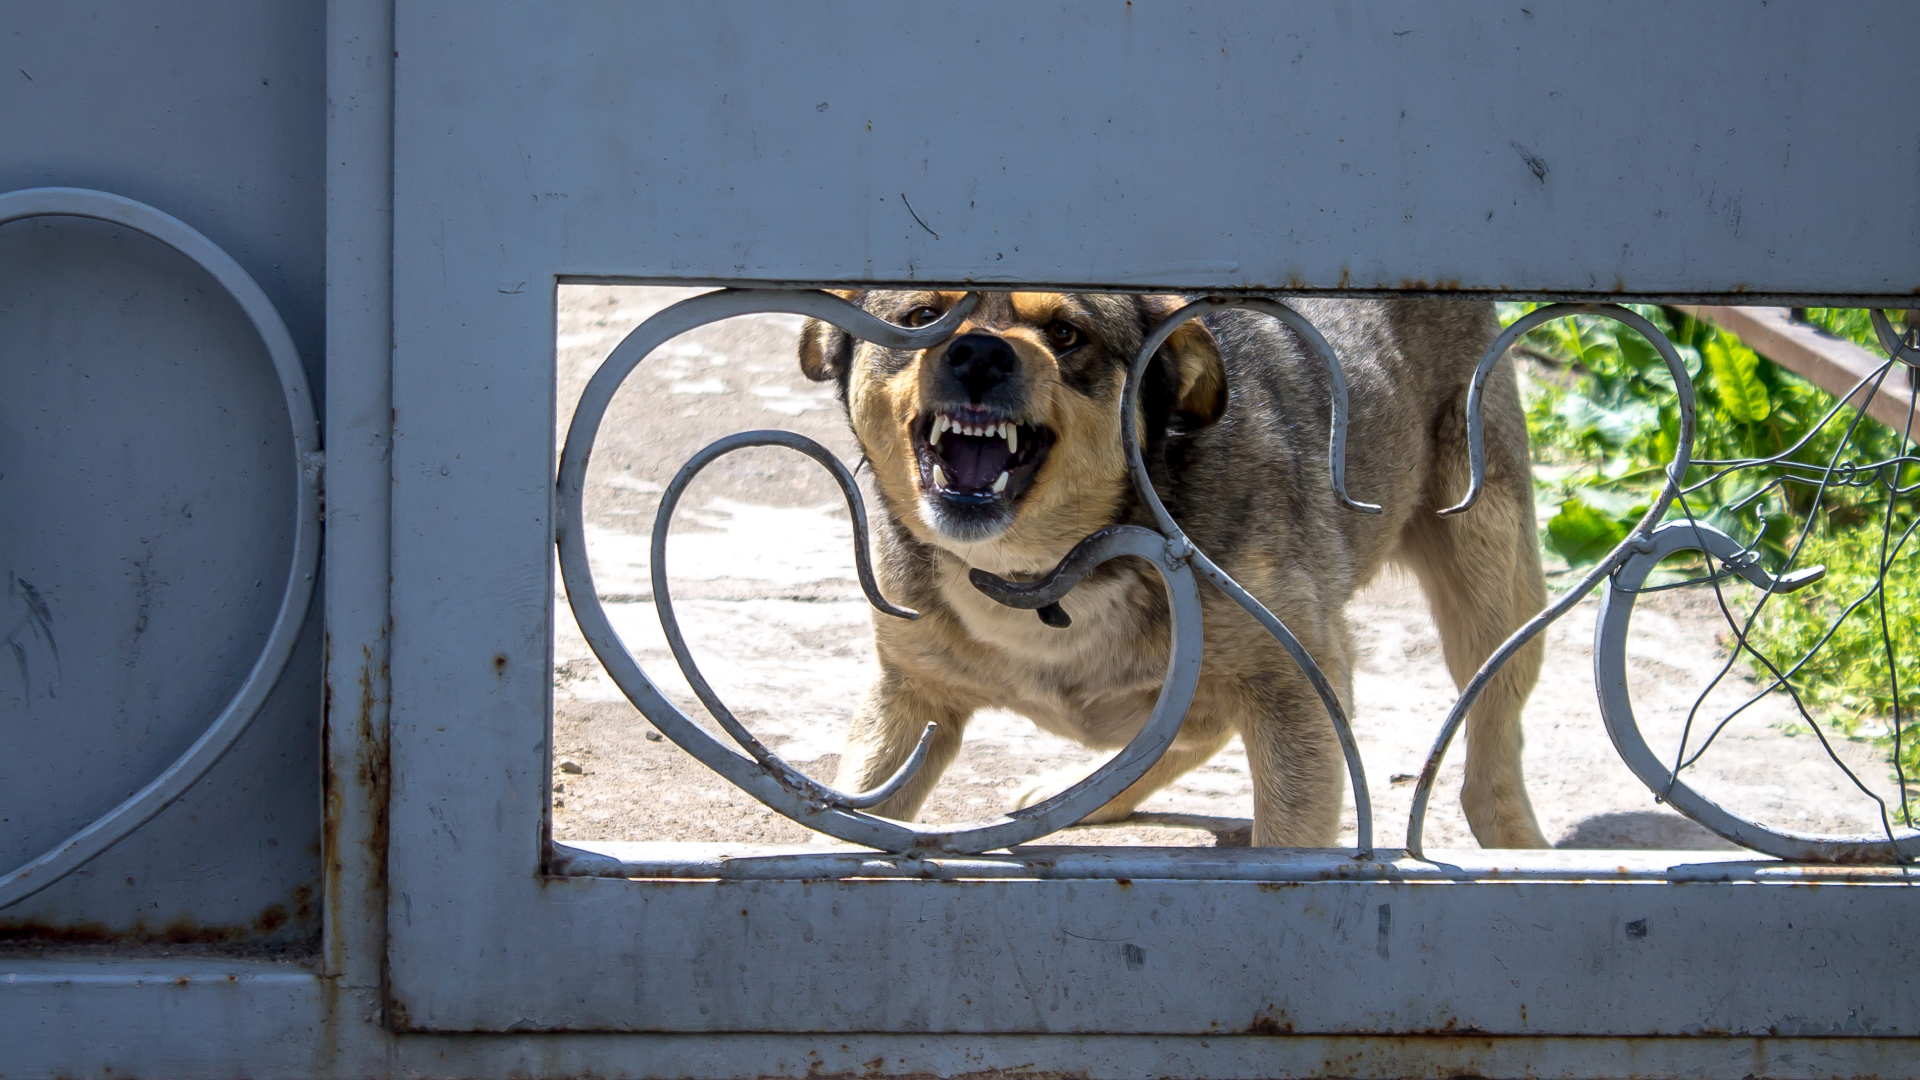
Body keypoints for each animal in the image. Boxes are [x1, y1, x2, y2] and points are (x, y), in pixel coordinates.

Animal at [802, 294, 1551, 849]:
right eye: (921, 316)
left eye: (1066, 333)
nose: (980, 353)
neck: (1045, 574)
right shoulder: (909, 697)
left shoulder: (1295, 687)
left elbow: (1290, 833)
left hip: (1492, 584)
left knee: (1489, 754)